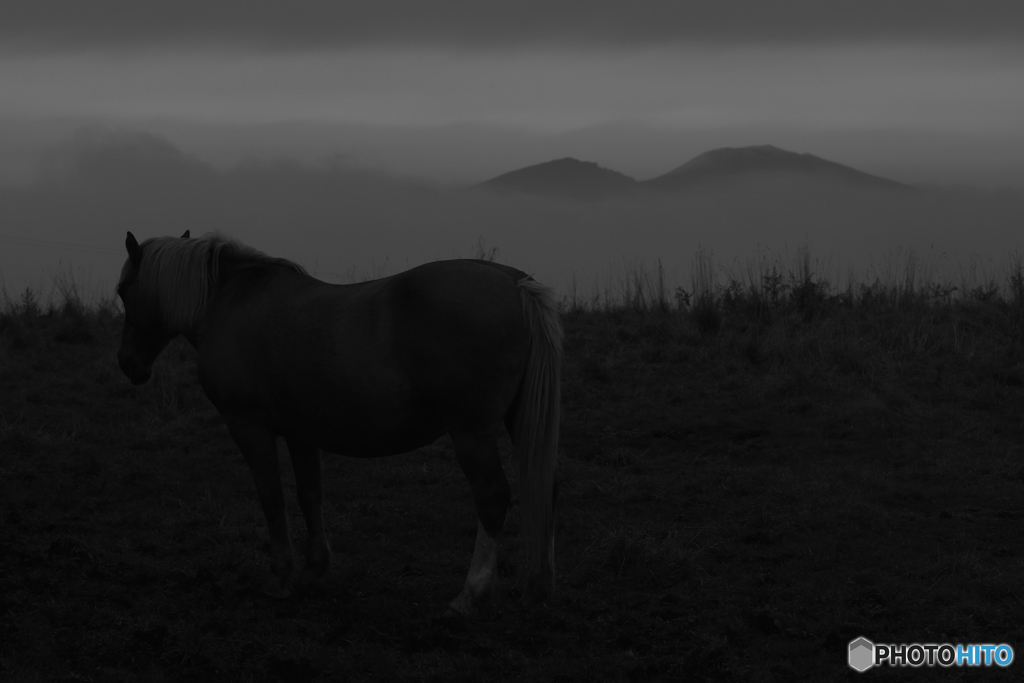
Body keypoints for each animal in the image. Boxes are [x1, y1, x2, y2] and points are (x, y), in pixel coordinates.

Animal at [117, 229, 565, 614]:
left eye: (123, 291)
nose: (128, 365)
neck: (232, 303)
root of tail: (514, 282)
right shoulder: (300, 432)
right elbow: (308, 495)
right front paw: (313, 571)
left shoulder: (249, 427)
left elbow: (271, 498)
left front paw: (280, 579)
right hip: (517, 423)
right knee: (544, 488)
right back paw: (538, 587)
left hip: (471, 432)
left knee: (492, 497)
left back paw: (470, 594)